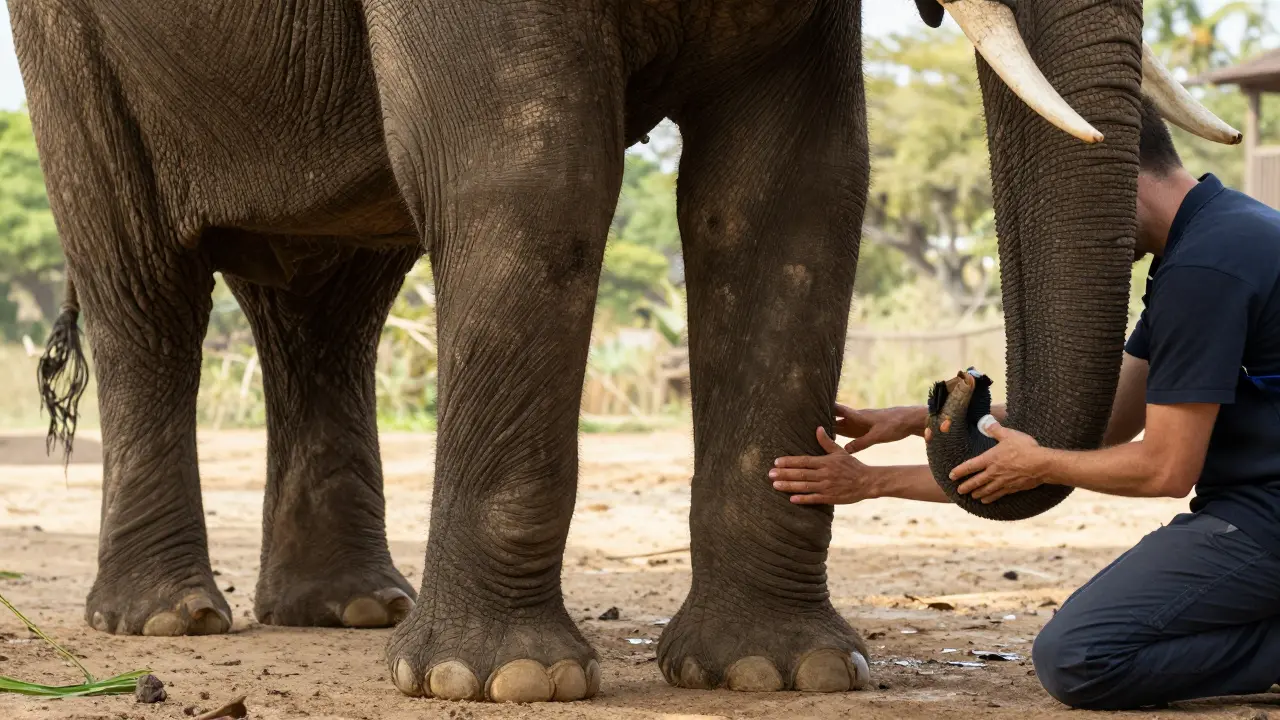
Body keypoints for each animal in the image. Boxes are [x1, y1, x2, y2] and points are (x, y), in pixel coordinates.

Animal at [9, 0, 1238, 703]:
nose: (958, 394)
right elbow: (530, 167)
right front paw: (499, 681)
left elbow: (796, 187)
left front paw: (781, 675)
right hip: (70, 51)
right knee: (145, 281)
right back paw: (165, 622)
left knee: (330, 301)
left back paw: (349, 614)